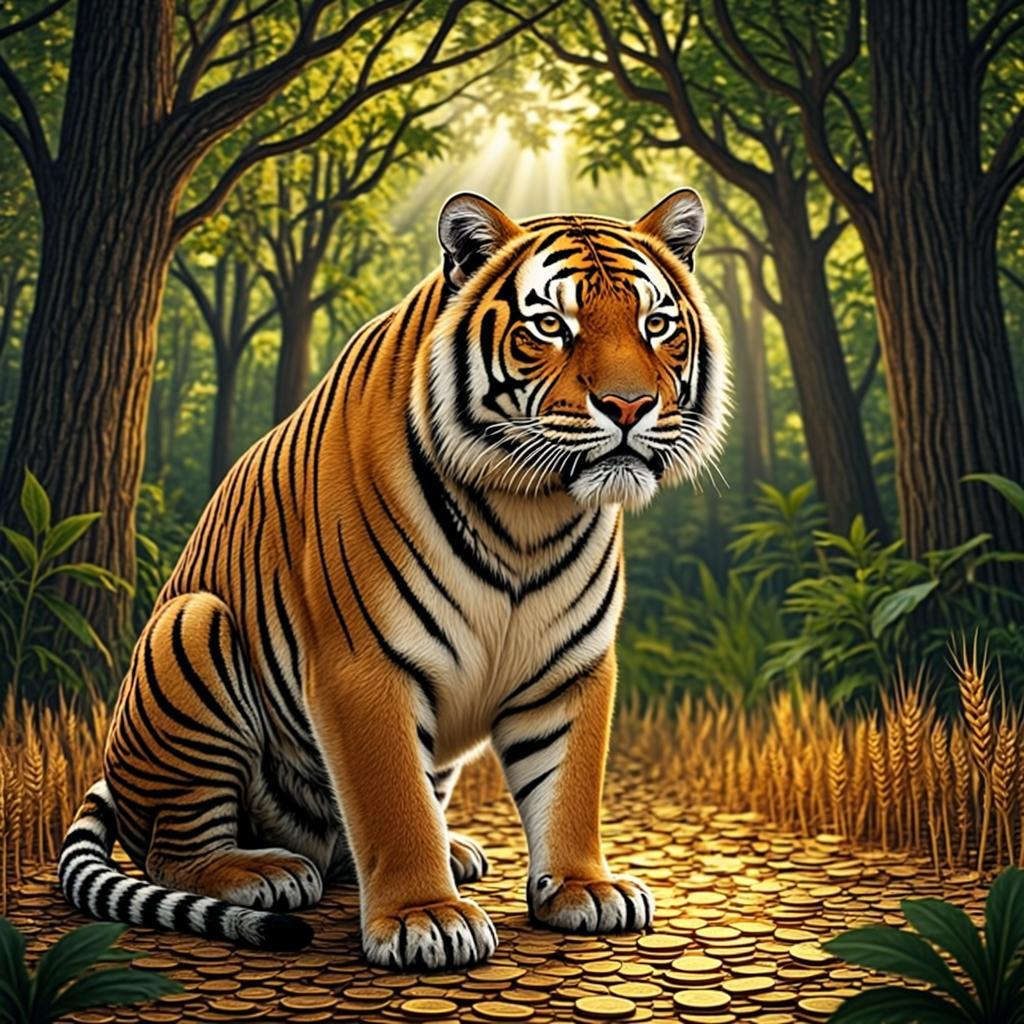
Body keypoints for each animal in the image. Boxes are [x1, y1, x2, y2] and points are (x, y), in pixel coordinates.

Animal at [58, 189, 728, 969]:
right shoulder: (362, 666)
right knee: (172, 849)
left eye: (657, 325)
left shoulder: (572, 664)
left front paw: (583, 888)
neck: (531, 511)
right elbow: (392, 801)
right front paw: (425, 918)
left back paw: (450, 851)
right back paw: (260, 873)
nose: (629, 406)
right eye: (550, 326)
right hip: (189, 626)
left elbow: (569, 784)